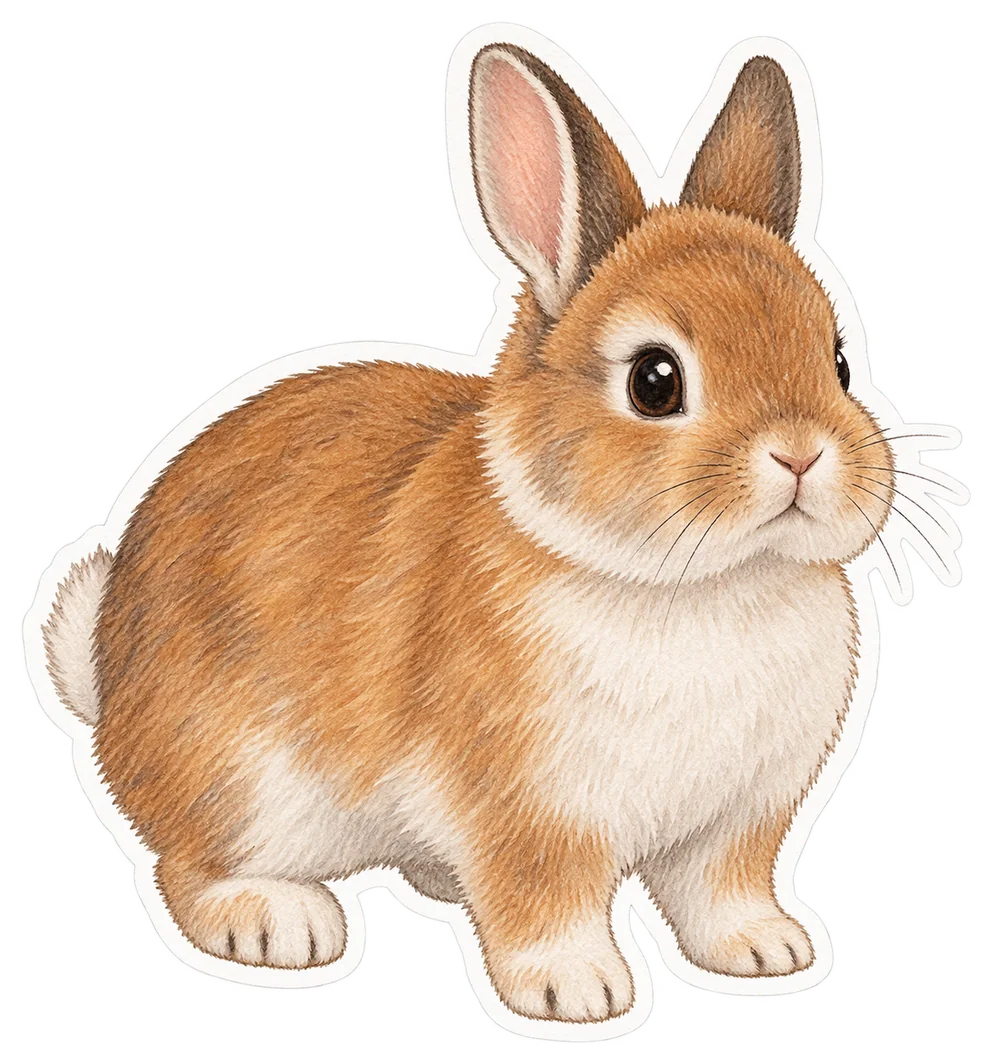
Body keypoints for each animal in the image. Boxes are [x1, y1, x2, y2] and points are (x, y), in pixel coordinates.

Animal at [43, 43, 893, 1022]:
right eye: (654, 381)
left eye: (837, 360)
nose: (800, 453)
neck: (700, 582)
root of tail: (109, 690)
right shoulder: (523, 807)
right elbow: (541, 898)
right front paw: (577, 991)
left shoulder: (740, 820)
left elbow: (720, 893)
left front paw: (767, 951)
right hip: (240, 776)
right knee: (185, 863)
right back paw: (274, 921)